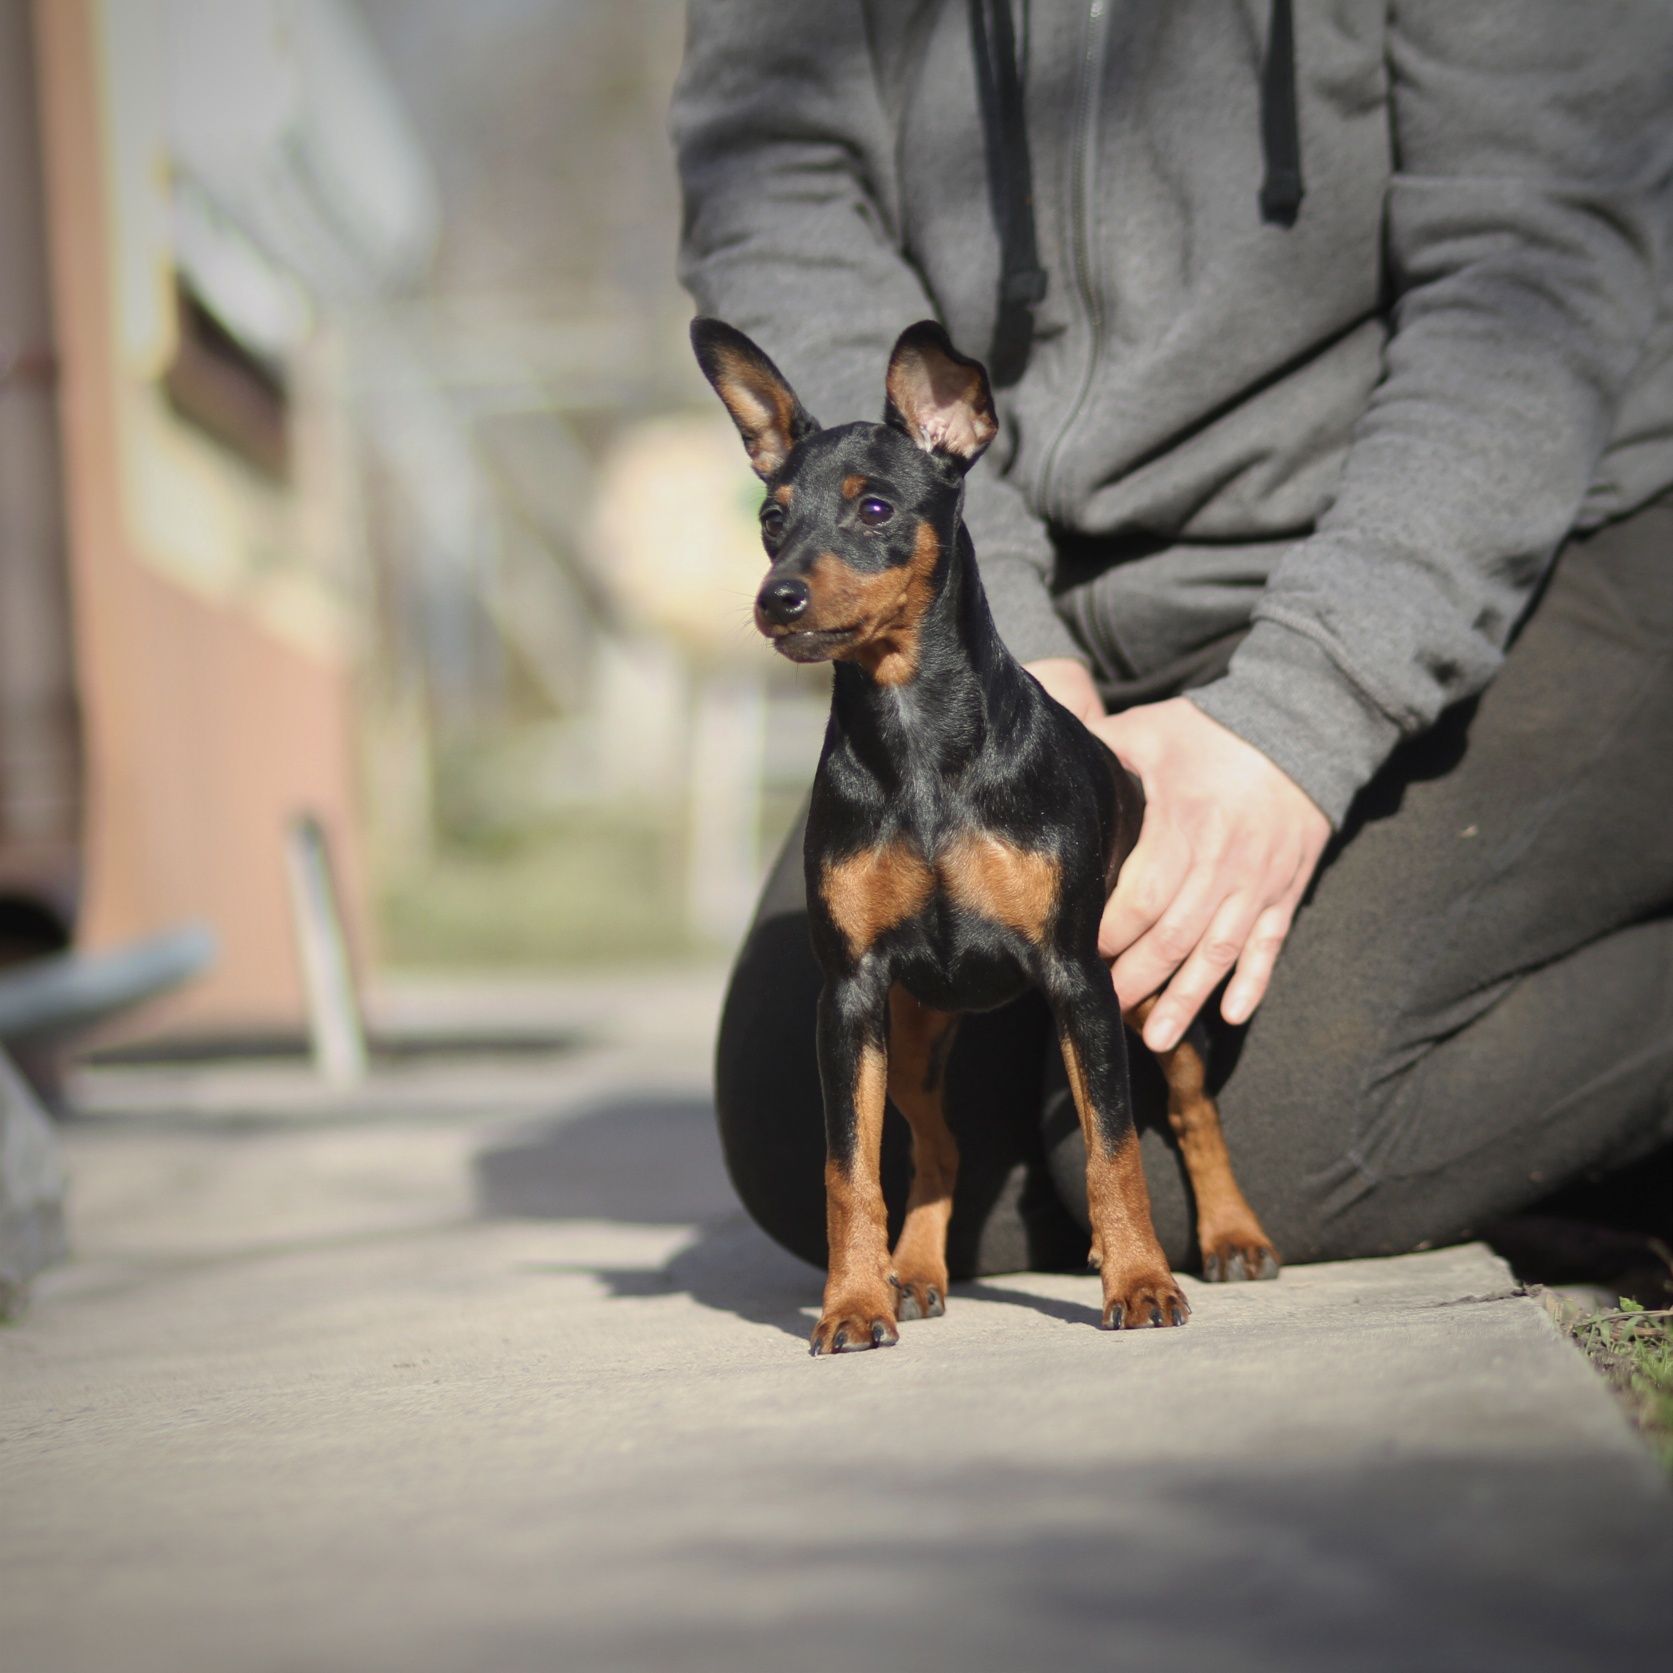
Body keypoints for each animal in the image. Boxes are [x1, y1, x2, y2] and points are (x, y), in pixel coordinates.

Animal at [692, 316, 1278, 1358]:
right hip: (918, 1029)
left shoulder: (1080, 977)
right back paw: (916, 1271)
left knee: (1189, 1106)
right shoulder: (850, 996)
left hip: (1143, 994)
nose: (776, 599)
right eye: (770, 519)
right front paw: (854, 1303)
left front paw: (1138, 1281)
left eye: (875, 507)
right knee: (938, 1146)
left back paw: (1230, 1236)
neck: (917, 742)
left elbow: (1112, 1149)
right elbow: (849, 1171)